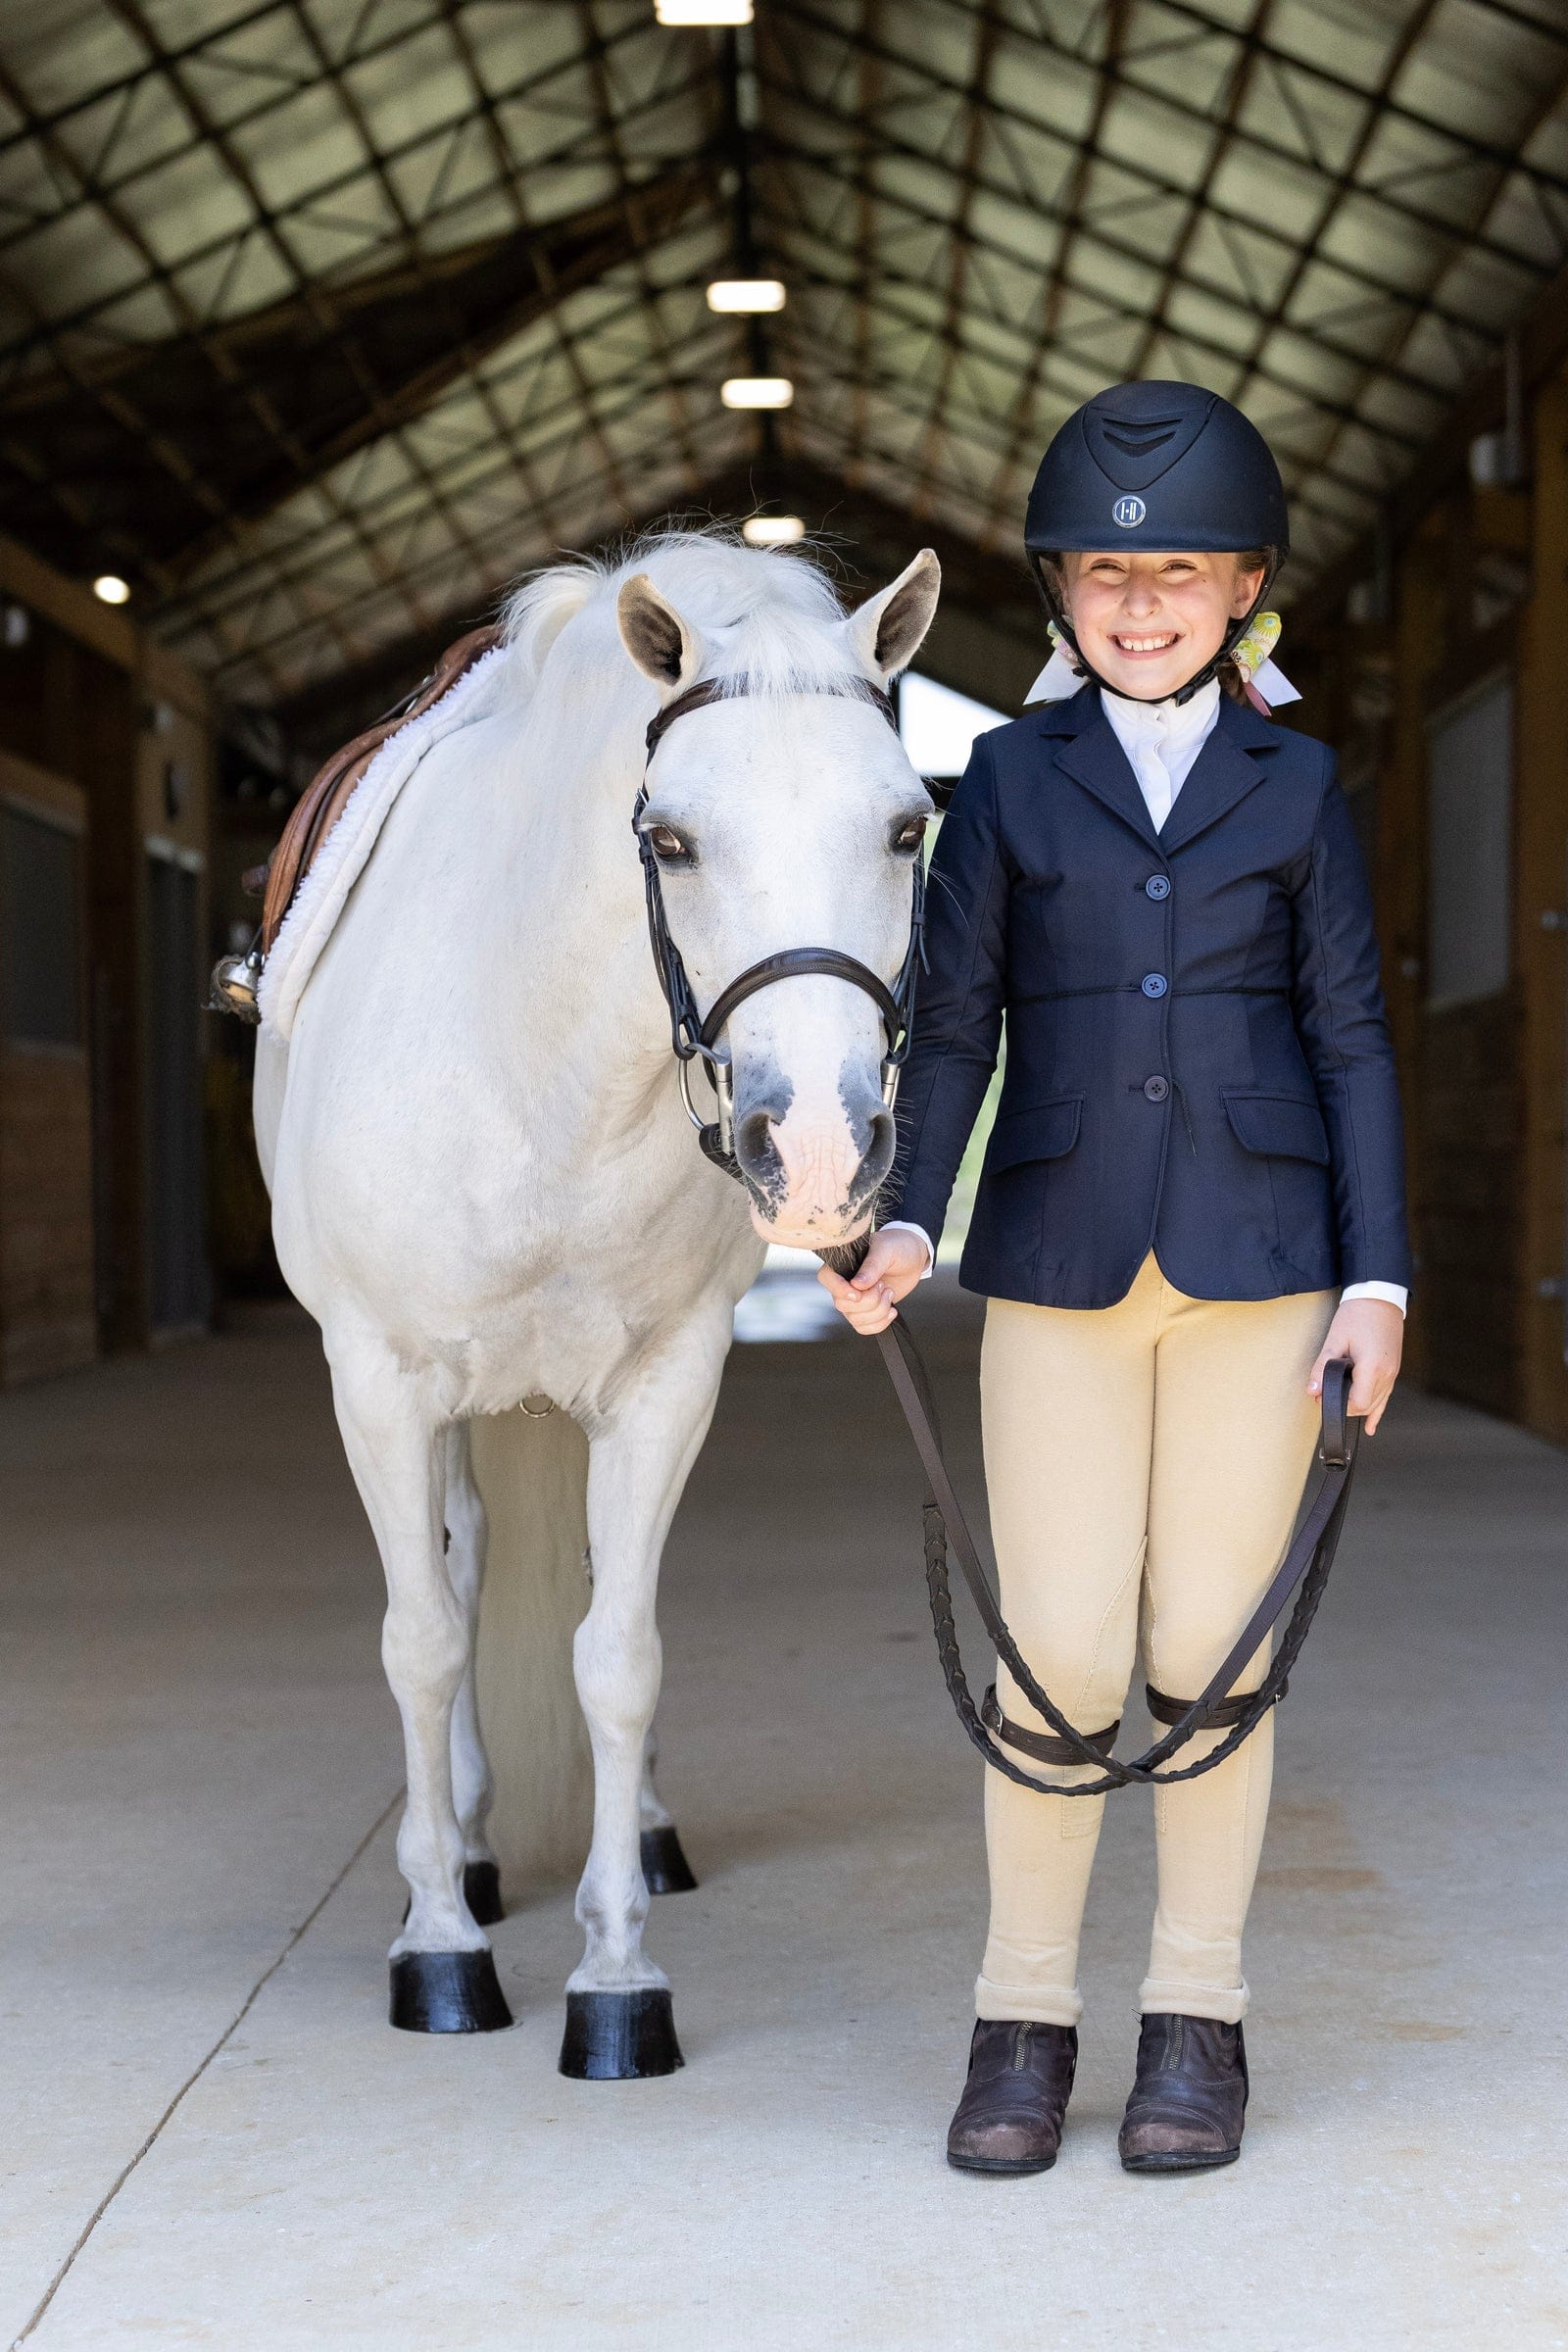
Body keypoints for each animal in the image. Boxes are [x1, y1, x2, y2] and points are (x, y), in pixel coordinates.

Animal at [251, 529, 941, 2077]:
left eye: (907, 828)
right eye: (669, 838)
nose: (819, 1154)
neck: (536, 1063)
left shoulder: (666, 1383)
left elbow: (619, 1656)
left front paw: (618, 1979)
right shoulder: (377, 1383)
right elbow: (423, 1642)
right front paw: (439, 1948)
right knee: (452, 1579)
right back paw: (467, 1861)